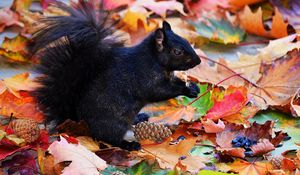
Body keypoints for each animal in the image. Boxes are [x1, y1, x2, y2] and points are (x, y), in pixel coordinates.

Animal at [29, 0, 202, 150]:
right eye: (177, 51)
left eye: (186, 41)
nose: (199, 61)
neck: (154, 59)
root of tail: (79, 120)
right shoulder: (146, 77)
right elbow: (159, 91)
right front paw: (186, 90)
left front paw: (193, 87)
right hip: (114, 124)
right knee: (108, 137)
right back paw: (128, 145)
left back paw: (139, 118)